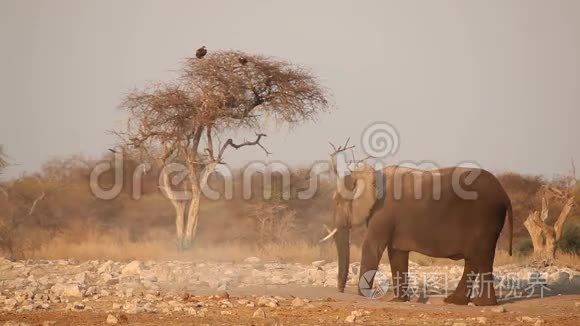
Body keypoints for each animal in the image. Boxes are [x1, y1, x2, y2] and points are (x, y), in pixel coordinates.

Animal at [320, 166, 516, 306]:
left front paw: (365, 296)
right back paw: (456, 302)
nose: (340, 291)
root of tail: (504, 195)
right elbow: (396, 252)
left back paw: (482, 304)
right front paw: (398, 301)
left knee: (481, 256)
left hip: (485, 217)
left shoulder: (383, 213)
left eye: (338, 202)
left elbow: (372, 247)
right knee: (474, 258)